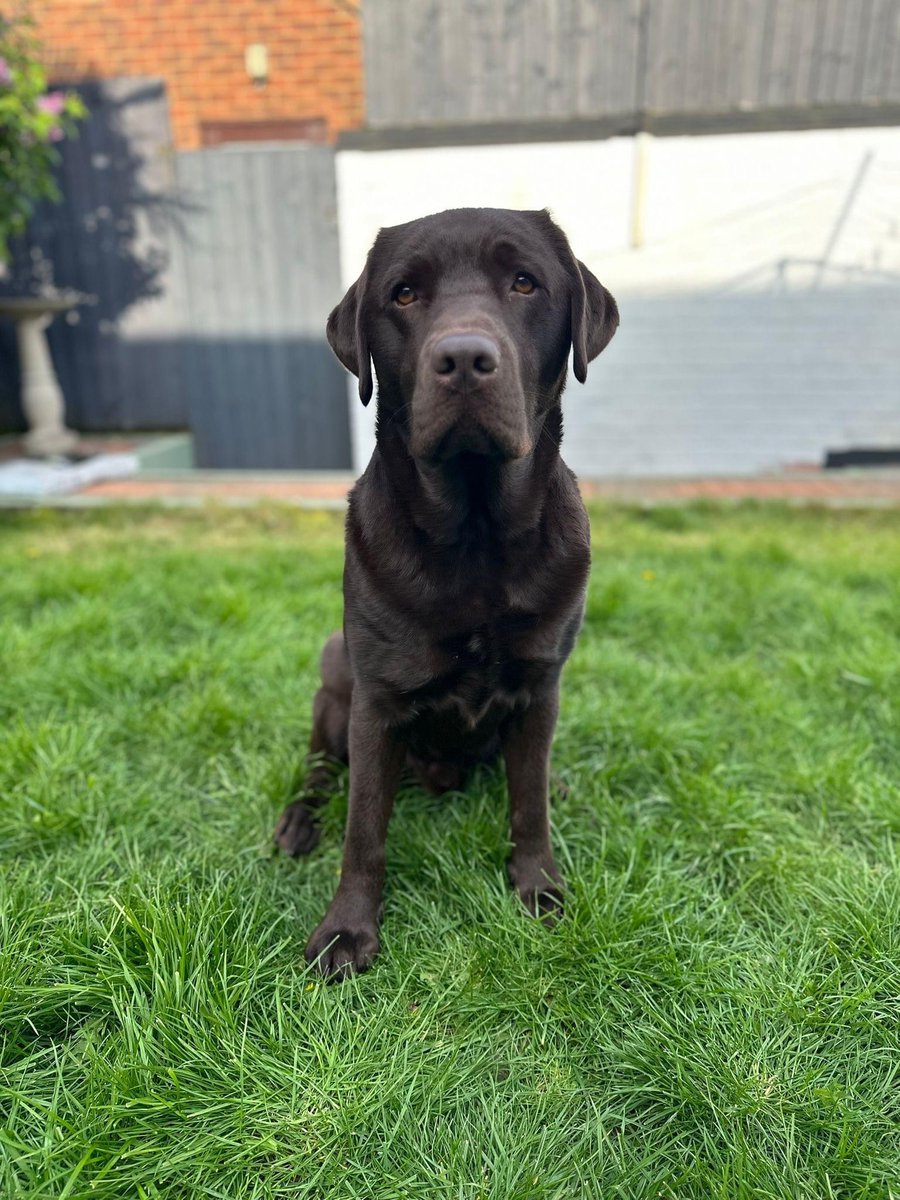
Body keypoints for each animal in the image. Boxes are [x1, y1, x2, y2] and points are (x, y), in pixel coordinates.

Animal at [271, 204, 619, 974]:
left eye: (524, 282)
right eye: (403, 294)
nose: (463, 358)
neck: (478, 538)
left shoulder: (542, 687)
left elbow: (529, 803)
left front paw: (538, 886)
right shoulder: (375, 705)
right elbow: (363, 830)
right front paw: (347, 931)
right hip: (333, 680)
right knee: (319, 773)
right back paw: (296, 822)